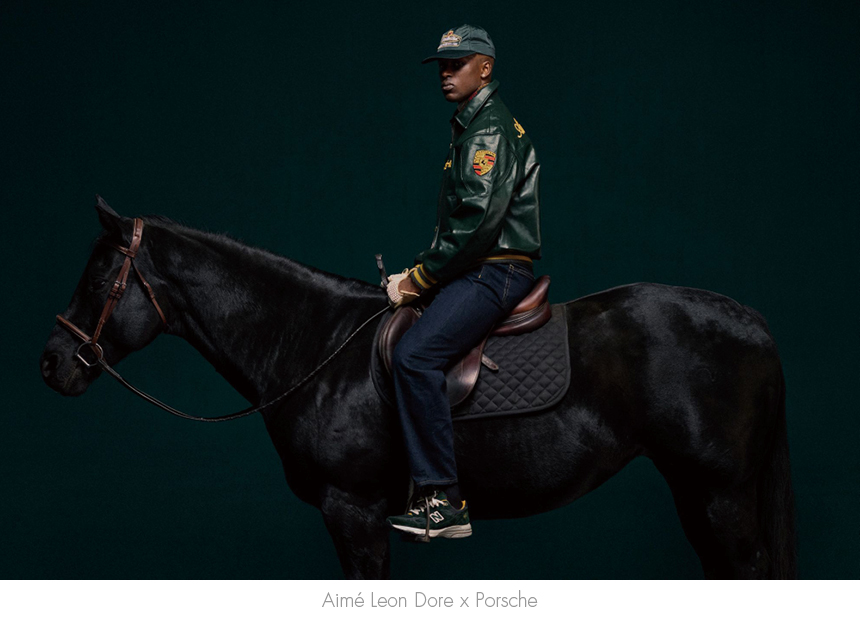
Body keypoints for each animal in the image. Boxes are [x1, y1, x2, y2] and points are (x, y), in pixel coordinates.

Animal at [40, 198, 796, 579]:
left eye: (101, 271)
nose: (51, 364)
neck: (315, 343)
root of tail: (750, 319)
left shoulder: (353, 513)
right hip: (698, 493)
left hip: (721, 495)